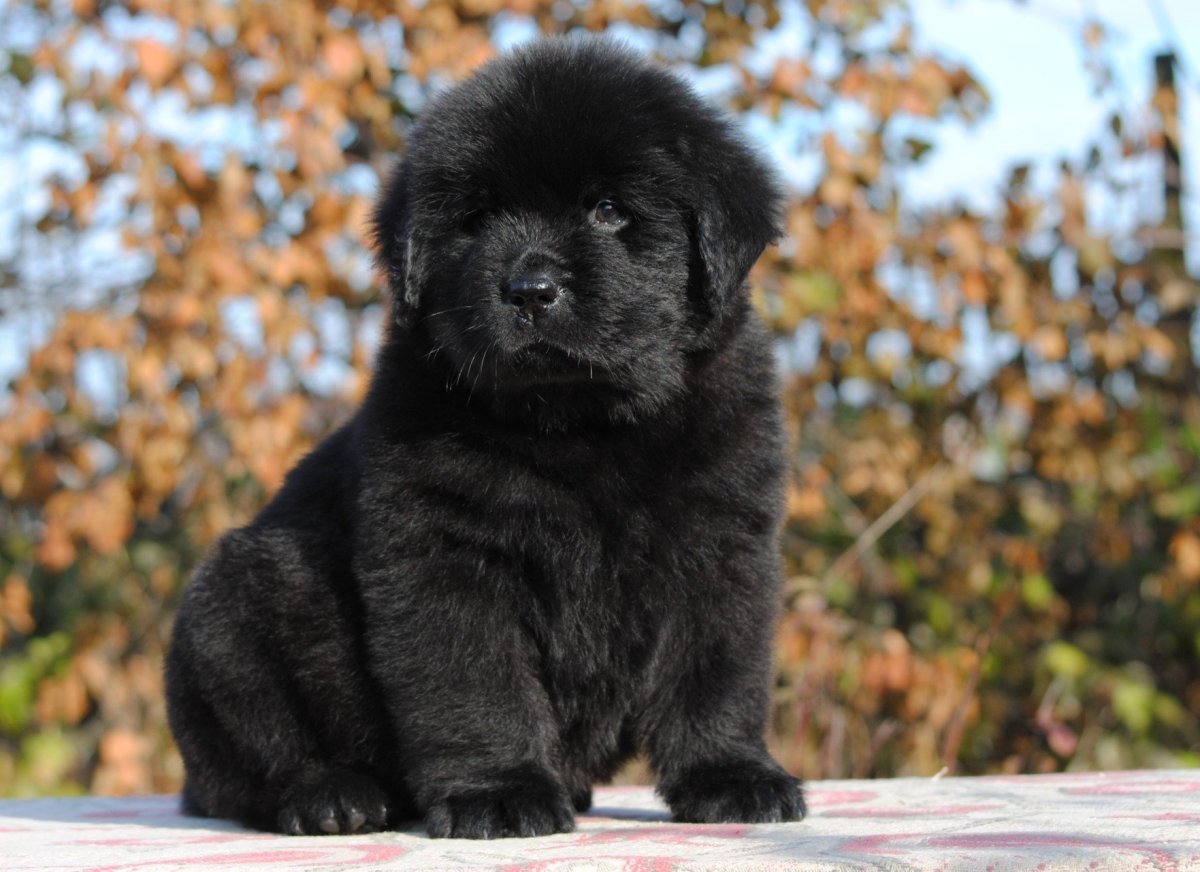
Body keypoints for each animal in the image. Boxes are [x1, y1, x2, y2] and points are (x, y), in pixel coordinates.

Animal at [164, 35, 801, 839]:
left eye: (608, 209)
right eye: (476, 218)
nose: (529, 291)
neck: (581, 422)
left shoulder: (722, 545)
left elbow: (717, 674)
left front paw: (732, 777)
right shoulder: (445, 554)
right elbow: (475, 681)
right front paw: (498, 793)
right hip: (233, 608)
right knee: (249, 761)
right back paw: (330, 797)